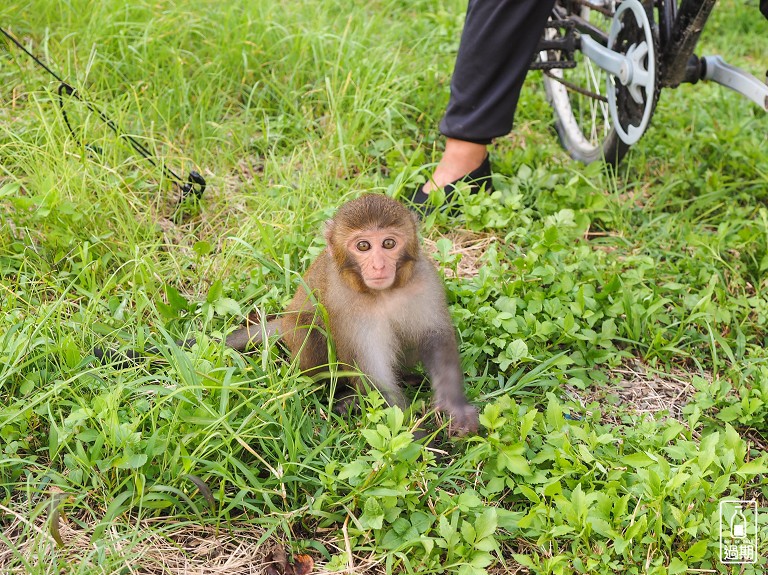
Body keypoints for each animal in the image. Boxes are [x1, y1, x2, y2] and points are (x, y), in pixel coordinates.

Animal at [95, 196, 476, 434]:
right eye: (363, 246)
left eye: (389, 244)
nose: (380, 266)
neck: (381, 293)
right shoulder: (346, 303)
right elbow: (370, 367)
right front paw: (414, 434)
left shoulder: (424, 280)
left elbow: (435, 339)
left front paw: (454, 408)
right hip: (300, 340)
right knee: (311, 329)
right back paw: (342, 398)